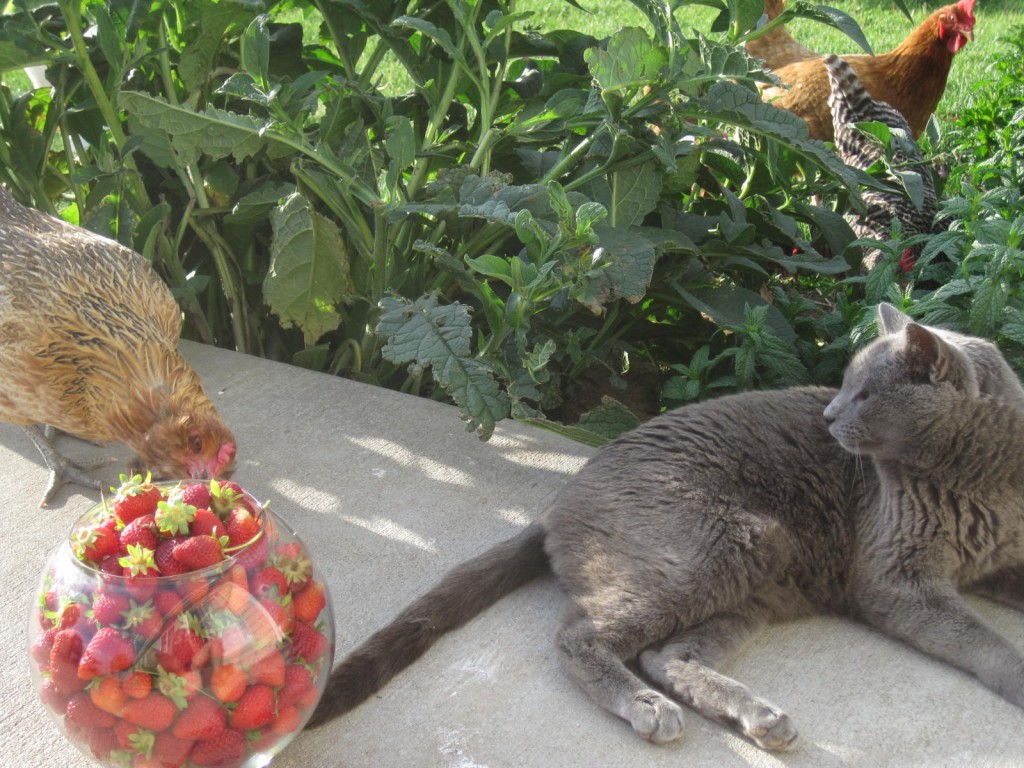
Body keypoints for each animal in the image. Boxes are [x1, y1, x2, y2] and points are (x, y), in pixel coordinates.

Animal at [307, 307, 1024, 753]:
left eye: (865, 394)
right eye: (842, 386)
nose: (826, 417)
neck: (988, 477)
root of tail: (560, 500)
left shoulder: (1005, 559)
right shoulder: (894, 577)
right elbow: (977, 637)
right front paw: (1016, 674)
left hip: (757, 575)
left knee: (665, 654)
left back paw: (760, 718)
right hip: (719, 544)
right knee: (582, 634)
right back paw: (649, 709)